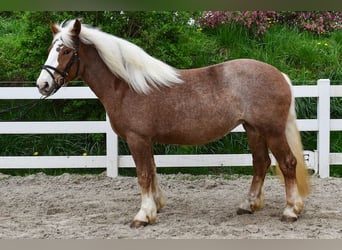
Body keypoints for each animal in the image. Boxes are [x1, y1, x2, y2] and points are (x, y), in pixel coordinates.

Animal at [36, 18, 312, 228]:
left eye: (66, 51)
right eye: (51, 48)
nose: (42, 84)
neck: (126, 87)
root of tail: (280, 75)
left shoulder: (137, 139)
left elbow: (143, 175)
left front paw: (143, 215)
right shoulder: (146, 140)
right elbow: (152, 170)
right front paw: (156, 206)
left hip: (272, 131)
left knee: (288, 164)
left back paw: (291, 210)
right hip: (253, 129)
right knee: (260, 163)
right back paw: (249, 205)